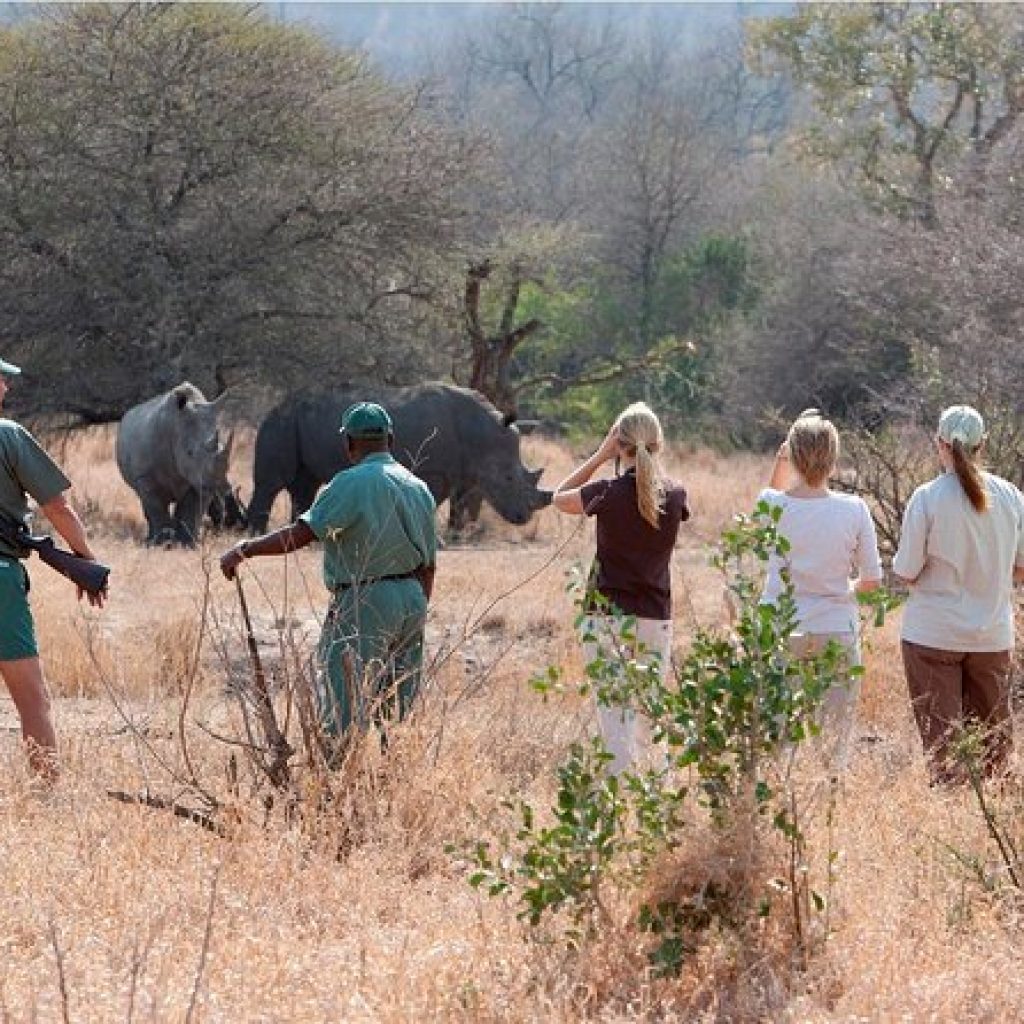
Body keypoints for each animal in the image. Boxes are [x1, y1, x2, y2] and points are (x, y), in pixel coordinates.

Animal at [116, 382, 243, 545]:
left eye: (221, 447)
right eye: (189, 453)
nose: (218, 486)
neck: (175, 429)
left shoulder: (197, 478)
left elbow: (191, 511)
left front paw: (187, 544)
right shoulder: (145, 476)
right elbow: (156, 506)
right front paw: (162, 544)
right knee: (144, 500)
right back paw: (150, 540)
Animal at [247, 383, 552, 533]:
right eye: (509, 478)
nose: (524, 517)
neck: (481, 434)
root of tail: (276, 406)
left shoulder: (466, 470)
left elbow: (461, 501)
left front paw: (457, 533)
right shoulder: (433, 470)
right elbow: (437, 499)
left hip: (295, 422)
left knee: (304, 485)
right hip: (281, 422)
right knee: (271, 483)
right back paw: (255, 534)